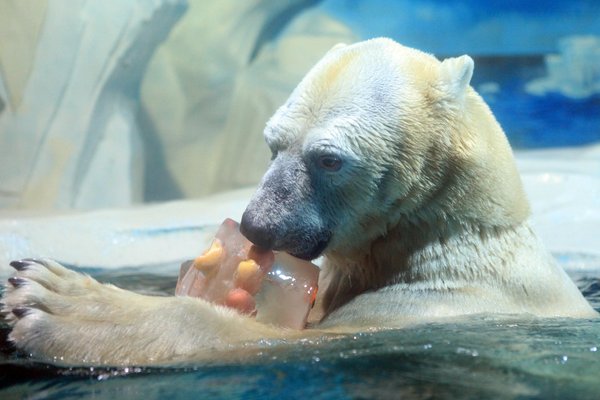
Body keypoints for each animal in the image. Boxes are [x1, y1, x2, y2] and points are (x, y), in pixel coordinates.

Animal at [3, 38, 596, 366]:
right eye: (273, 142)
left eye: (329, 158)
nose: (256, 225)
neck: (451, 237)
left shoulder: (430, 306)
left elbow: (271, 340)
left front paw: (55, 300)